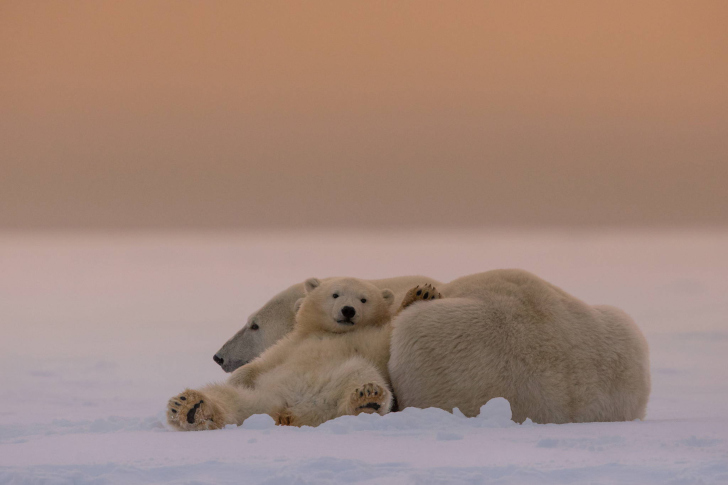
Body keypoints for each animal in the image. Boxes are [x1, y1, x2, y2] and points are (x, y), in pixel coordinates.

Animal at [166, 274, 404, 430]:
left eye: (364, 299)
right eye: (335, 294)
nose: (348, 310)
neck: (331, 333)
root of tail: (287, 412)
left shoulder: (369, 339)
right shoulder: (292, 342)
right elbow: (263, 363)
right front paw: (237, 377)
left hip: (339, 384)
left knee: (361, 375)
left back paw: (367, 398)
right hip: (263, 396)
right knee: (227, 397)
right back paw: (188, 406)